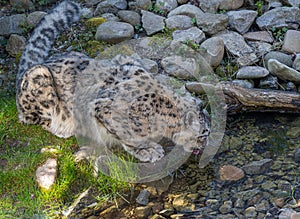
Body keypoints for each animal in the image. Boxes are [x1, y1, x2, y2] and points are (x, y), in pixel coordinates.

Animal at [15, 0, 209, 163]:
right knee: (30, 117)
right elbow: (129, 137)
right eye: (202, 135)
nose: (204, 147)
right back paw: (63, 128)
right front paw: (148, 150)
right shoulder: (105, 110)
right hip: (40, 79)